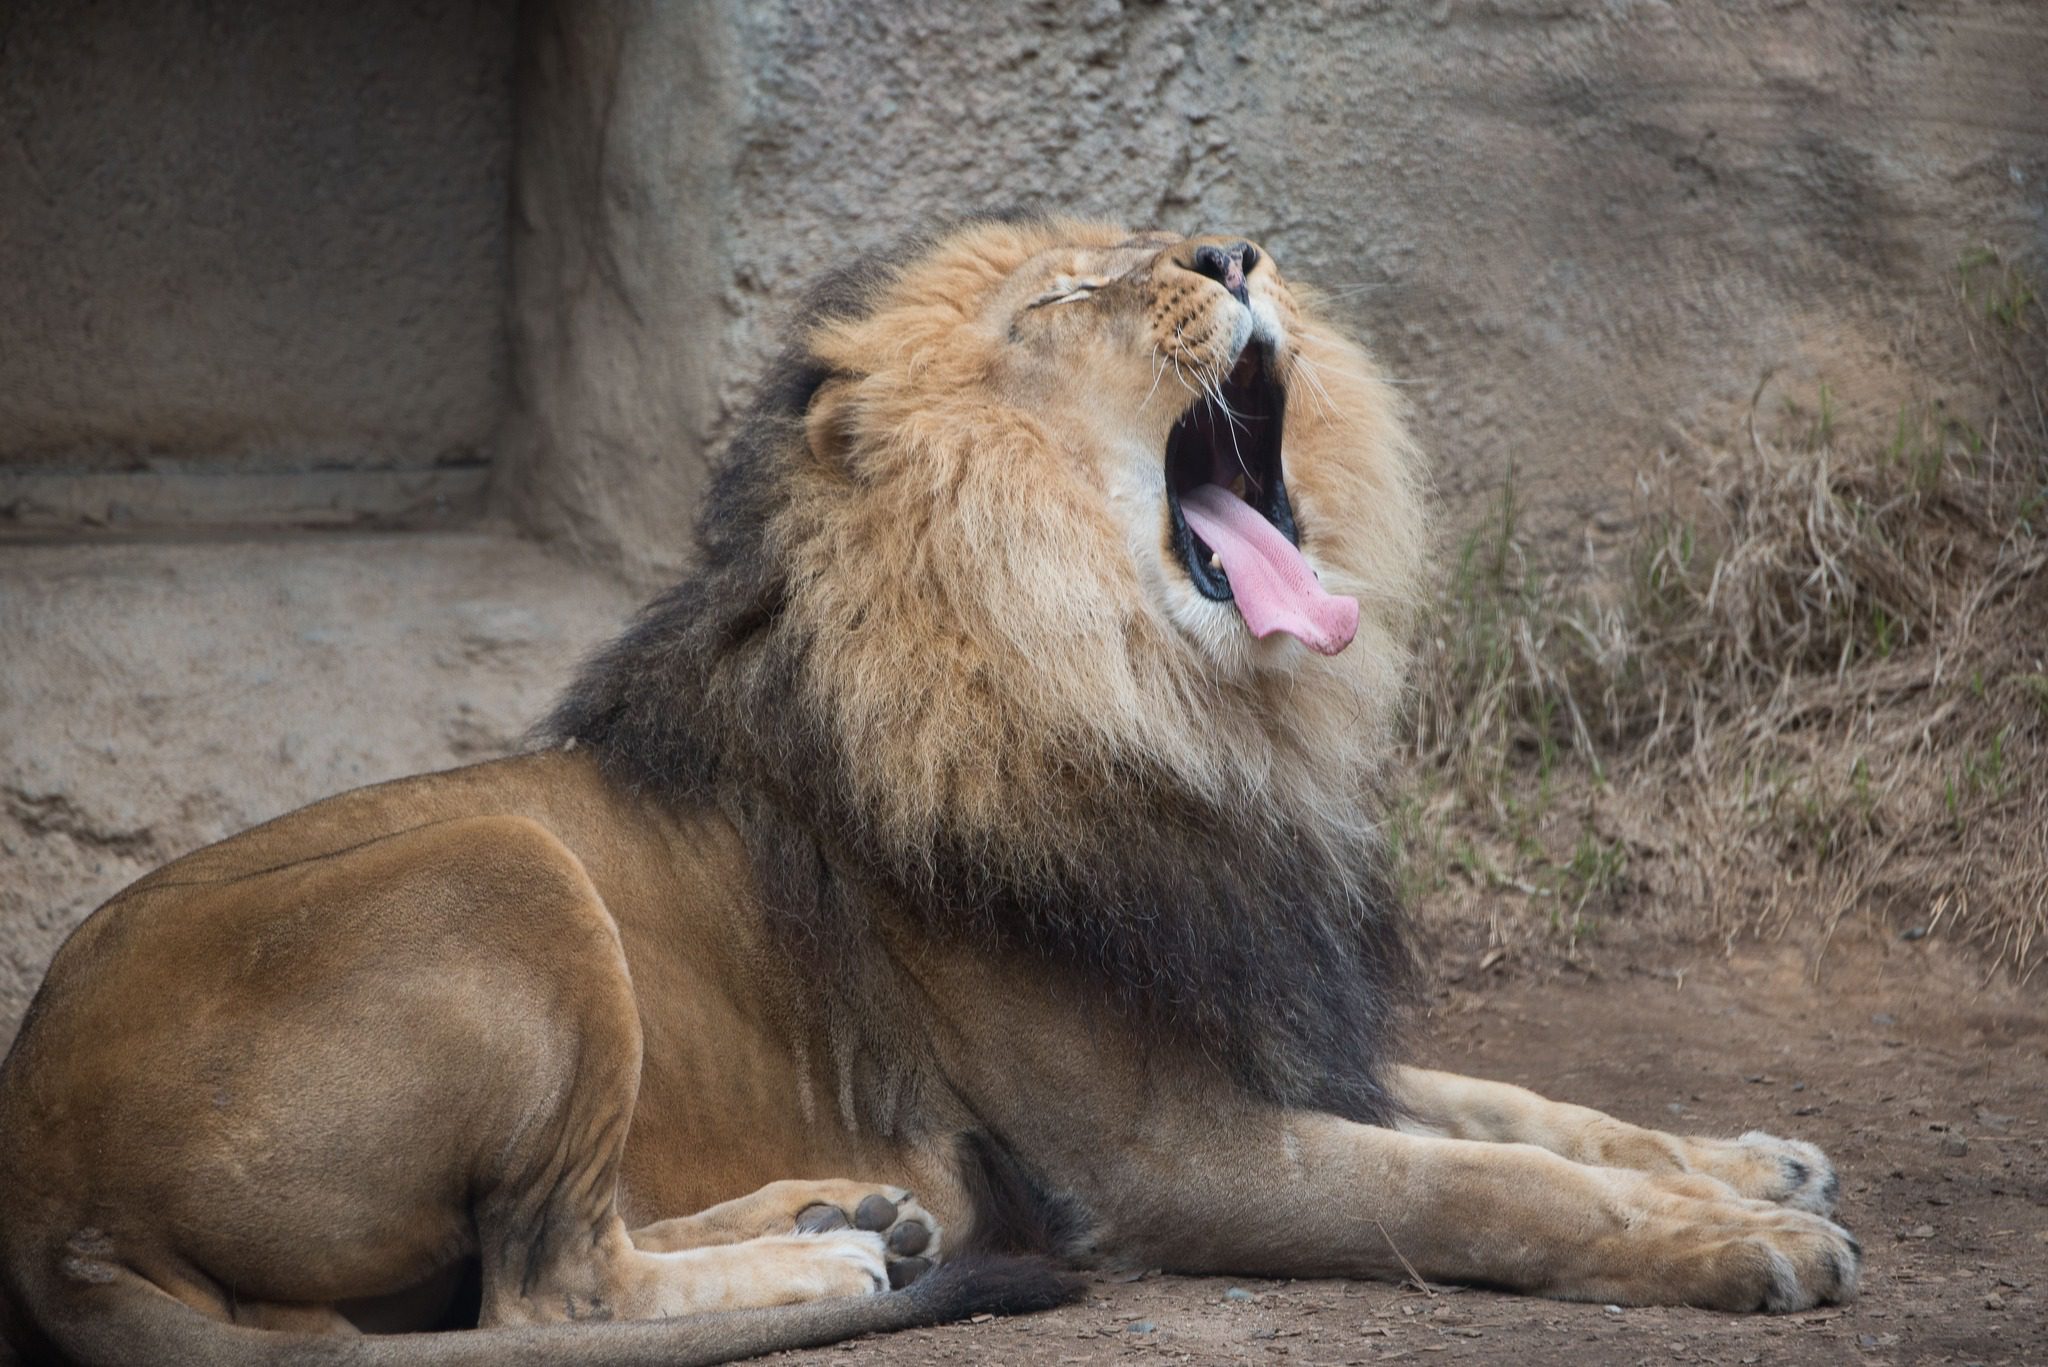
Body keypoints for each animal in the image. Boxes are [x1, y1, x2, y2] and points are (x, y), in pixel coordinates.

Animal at [0, 219, 1859, 1360]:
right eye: (1064, 299)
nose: (1237, 247)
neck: (1189, 721)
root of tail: (44, 1190)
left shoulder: (1265, 1021)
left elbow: (1519, 1105)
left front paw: (1744, 1160)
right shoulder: (1162, 1153)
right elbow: (1481, 1184)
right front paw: (1734, 1245)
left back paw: (849, 1208)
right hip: (504, 861)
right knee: (541, 1293)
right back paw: (822, 1251)